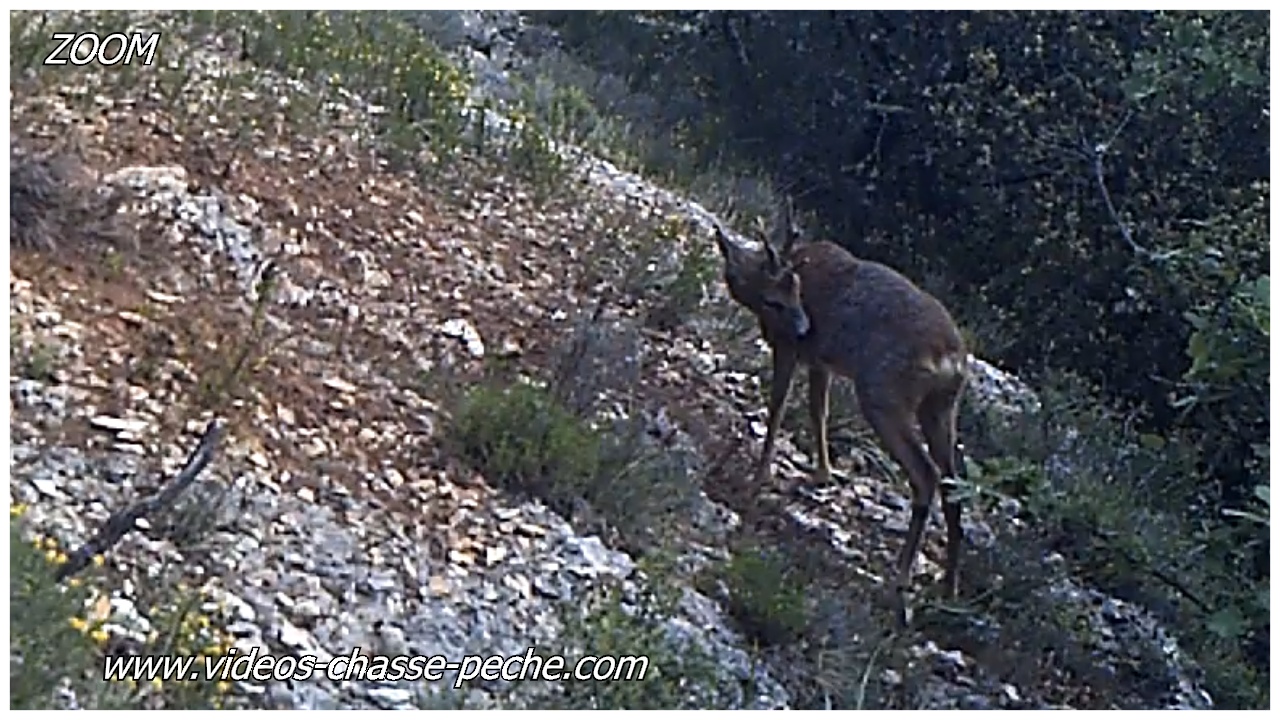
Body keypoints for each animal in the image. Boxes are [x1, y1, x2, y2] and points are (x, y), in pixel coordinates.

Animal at [711, 199, 967, 622]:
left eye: (786, 298)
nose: (804, 327)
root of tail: (950, 359)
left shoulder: (790, 347)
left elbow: (778, 405)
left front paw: (758, 476)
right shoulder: (821, 361)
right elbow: (819, 410)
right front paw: (822, 473)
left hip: (883, 392)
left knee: (926, 475)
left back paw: (899, 580)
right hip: (941, 407)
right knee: (953, 483)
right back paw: (947, 588)